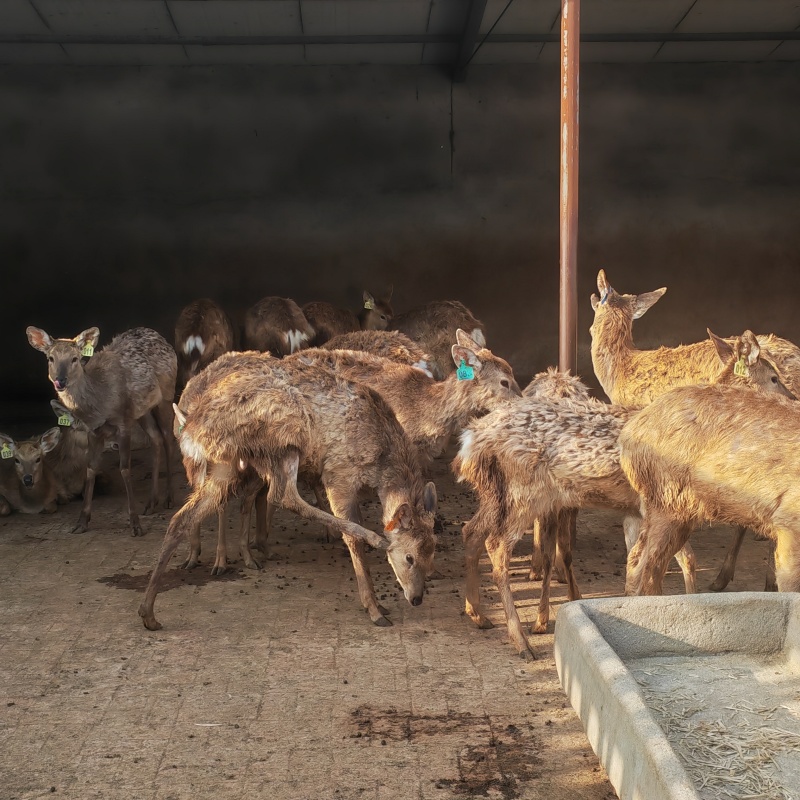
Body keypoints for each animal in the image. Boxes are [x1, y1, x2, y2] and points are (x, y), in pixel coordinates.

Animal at [26, 326, 177, 536]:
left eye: (75, 358)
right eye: (50, 358)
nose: (60, 381)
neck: (99, 405)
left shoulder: (123, 422)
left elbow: (125, 468)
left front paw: (135, 524)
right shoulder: (93, 431)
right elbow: (90, 467)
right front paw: (82, 522)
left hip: (167, 394)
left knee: (169, 438)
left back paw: (169, 498)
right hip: (143, 410)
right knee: (156, 438)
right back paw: (151, 503)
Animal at [138, 350, 438, 632]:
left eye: (432, 552)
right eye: (409, 557)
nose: (417, 598)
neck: (381, 455)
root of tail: (191, 426)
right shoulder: (339, 473)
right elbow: (351, 534)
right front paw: (375, 609)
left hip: (225, 464)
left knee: (184, 517)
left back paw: (148, 612)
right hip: (284, 440)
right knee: (281, 495)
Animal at [453, 330, 792, 659]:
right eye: (773, 377)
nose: (793, 398)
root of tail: (473, 440)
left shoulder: (639, 510)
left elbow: (655, 562)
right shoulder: (663, 504)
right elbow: (678, 560)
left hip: (497, 494)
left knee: (471, 531)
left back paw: (479, 615)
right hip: (525, 491)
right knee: (497, 546)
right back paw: (521, 640)